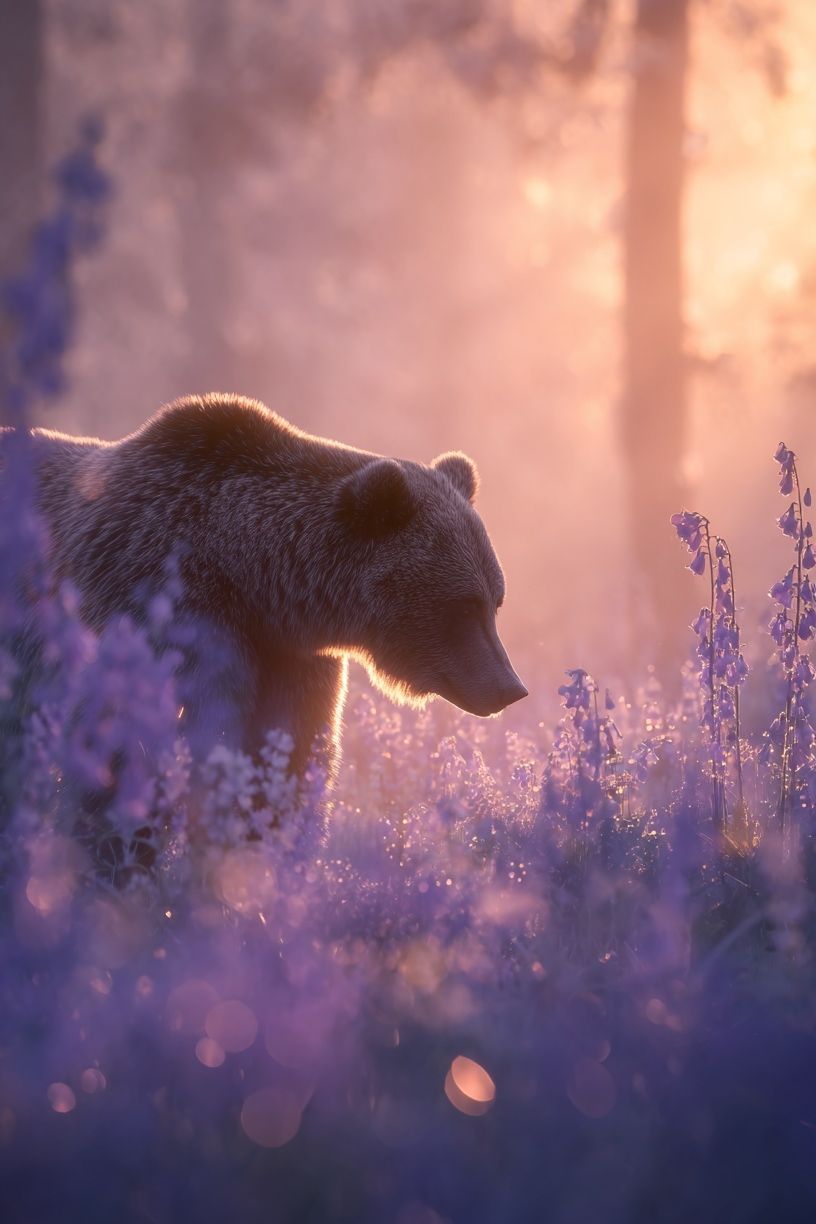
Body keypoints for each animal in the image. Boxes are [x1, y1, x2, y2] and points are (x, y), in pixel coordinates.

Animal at [20, 393, 527, 772]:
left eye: (496, 601)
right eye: (463, 603)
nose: (511, 687)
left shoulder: (291, 656)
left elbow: (290, 758)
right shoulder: (150, 600)